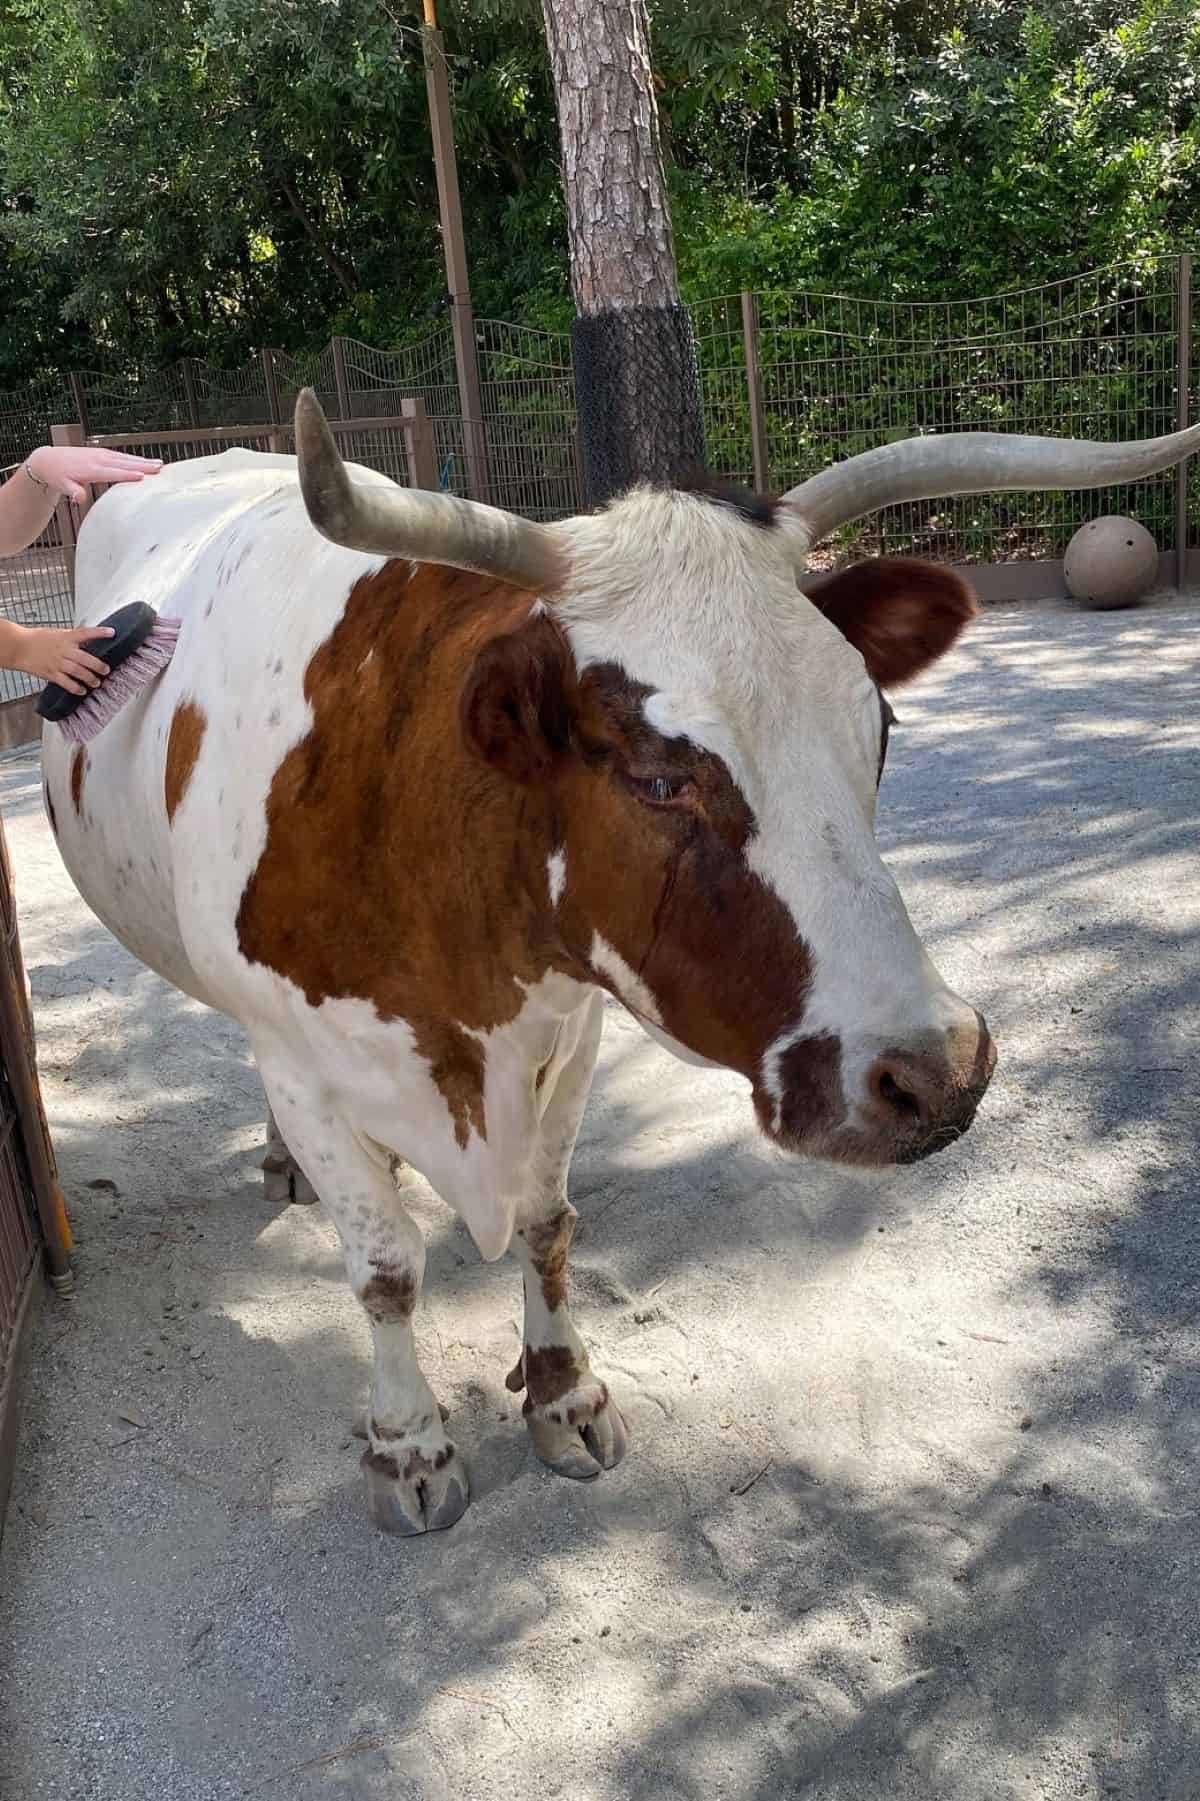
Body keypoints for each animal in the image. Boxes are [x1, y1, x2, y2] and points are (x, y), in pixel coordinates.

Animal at [42, 395, 1199, 1534]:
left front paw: (565, 1394)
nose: (939, 1070)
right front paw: (408, 1442)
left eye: (879, 724)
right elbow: (384, 1269)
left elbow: (547, 1224)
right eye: (656, 779)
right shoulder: (303, 1061)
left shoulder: (572, 1027)